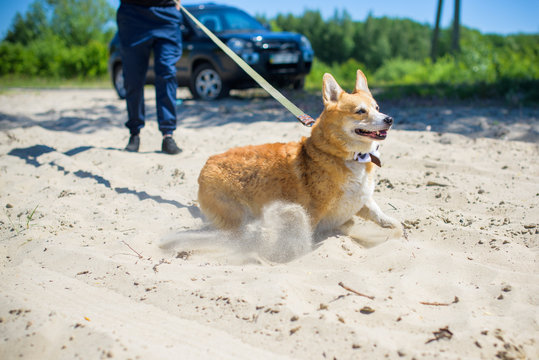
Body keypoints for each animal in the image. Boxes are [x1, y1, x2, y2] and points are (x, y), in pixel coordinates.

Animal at [197, 70, 400, 239]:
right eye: (360, 111)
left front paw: (393, 224)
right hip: (235, 213)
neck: (350, 156)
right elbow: (307, 232)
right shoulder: (313, 211)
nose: (389, 119)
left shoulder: (360, 199)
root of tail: (208, 162)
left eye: (377, 107)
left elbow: (375, 211)